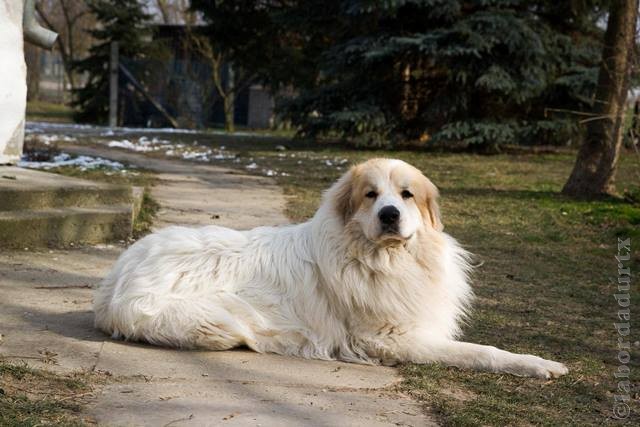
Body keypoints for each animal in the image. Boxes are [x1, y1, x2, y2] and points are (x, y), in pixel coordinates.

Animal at [94, 159, 564, 380]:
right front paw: (536, 364)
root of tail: (117, 272)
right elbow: (480, 352)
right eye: (371, 195)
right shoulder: (387, 340)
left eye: (406, 195)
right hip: (216, 324)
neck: (378, 258)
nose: (390, 214)